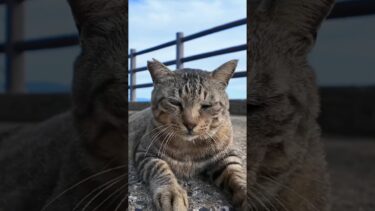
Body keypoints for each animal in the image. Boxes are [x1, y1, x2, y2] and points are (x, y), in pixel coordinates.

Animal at [128, 58, 248, 210]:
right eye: (174, 102)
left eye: (207, 105)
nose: (190, 124)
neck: (189, 148)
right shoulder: (145, 152)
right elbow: (160, 168)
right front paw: (171, 191)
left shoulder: (228, 155)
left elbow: (236, 173)